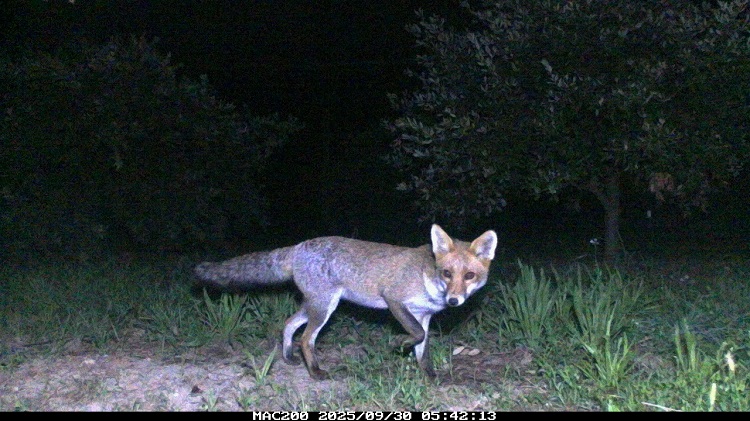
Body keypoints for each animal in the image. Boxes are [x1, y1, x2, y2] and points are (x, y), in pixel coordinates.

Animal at [194, 224, 498, 380]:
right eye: (447, 273)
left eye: (469, 276)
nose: (454, 300)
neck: (428, 277)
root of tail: (298, 246)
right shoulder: (394, 300)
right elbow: (416, 336)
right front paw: (398, 344)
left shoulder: (423, 316)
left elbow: (423, 349)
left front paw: (430, 376)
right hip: (324, 308)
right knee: (306, 338)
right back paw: (315, 372)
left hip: (314, 305)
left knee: (289, 323)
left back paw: (288, 357)